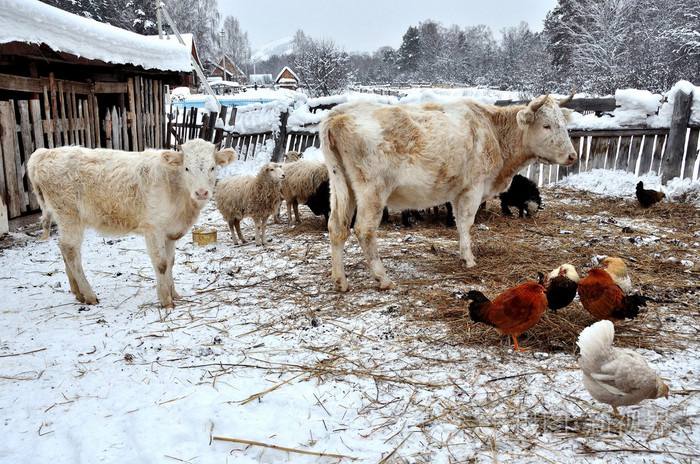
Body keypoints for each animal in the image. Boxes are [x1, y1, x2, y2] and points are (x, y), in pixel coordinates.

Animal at [26, 140, 235, 308]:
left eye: (213, 167)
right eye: (186, 168)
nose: (201, 192)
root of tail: (45, 153)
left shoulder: (169, 231)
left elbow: (170, 262)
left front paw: (174, 294)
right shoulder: (153, 229)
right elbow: (161, 264)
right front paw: (165, 300)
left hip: (64, 218)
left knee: (64, 248)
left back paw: (78, 293)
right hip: (69, 215)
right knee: (70, 250)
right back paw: (89, 295)